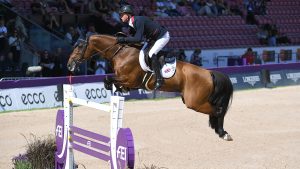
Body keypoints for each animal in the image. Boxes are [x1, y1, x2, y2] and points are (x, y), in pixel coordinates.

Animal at [67, 33, 233, 141]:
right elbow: (109, 81)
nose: (69, 65)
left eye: (79, 47)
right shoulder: (125, 80)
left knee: (218, 110)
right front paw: (119, 90)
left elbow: (108, 79)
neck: (121, 53)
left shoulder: (130, 80)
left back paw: (223, 133)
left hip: (194, 102)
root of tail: (209, 72)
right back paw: (220, 132)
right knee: (216, 110)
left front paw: (118, 89)